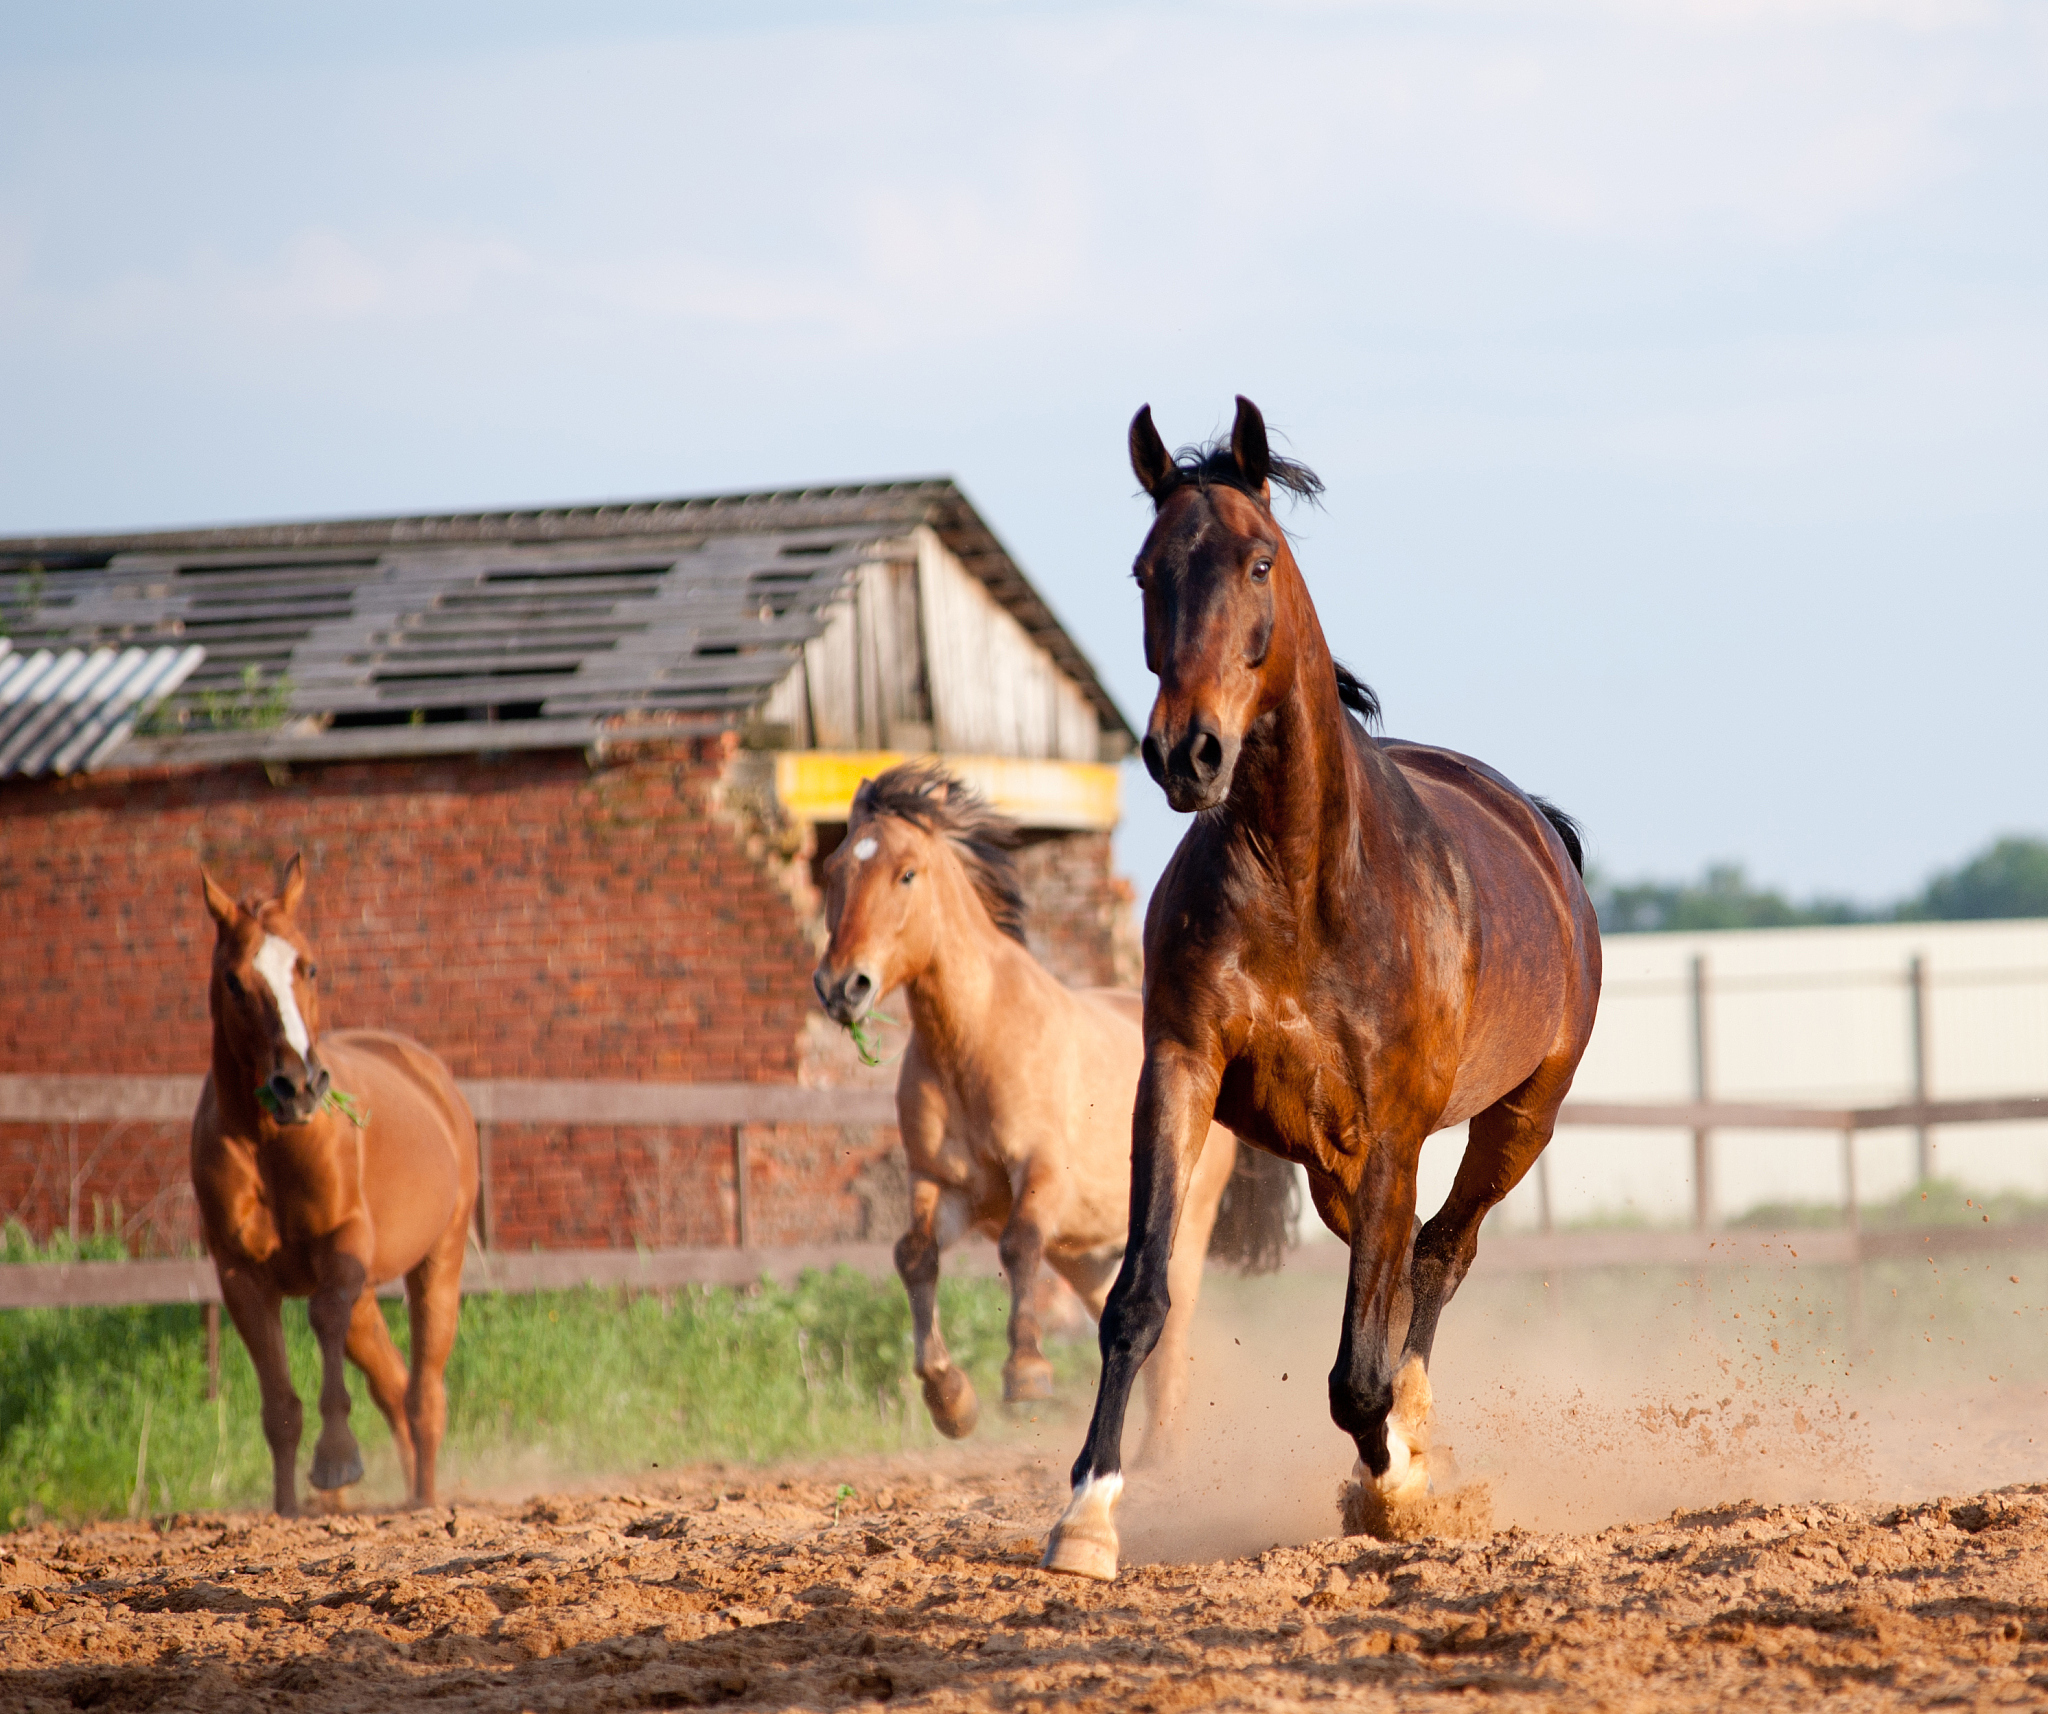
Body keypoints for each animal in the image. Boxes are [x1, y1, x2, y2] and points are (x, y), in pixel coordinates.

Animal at [191, 854, 479, 1515]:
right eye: (233, 981)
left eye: (310, 965)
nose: (298, 1084)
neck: (269, 1141)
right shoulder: (240, 1275)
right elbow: (279, 1405)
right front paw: (288, 1508)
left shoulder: (341, 1249)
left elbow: (323, 1320)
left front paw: (337, 1459)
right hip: (368, 1295)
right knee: (394, 1383)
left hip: (437, 1263)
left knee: (424, 1391)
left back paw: (425, 1501)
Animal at [811, 761, 1288, 1454]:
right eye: (836, 868)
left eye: (907, 873)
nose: (842, 987)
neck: (975, 1040)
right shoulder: (941, 1184)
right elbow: (914, 1254)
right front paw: (950, 1400)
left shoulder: (1039, 1175)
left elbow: (1017, 1247)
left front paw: (1026, 1373)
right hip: (1087, 1251)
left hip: (1186, 1226)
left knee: (1174, 1328)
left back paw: (1160, 1453)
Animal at [1043, 398, 1601, 1579]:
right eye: (1144, 569)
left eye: (1259, 559)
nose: (1187, 753)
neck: (1302, 878)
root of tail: (1537, 825)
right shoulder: (1181, 1070)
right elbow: (1136, 1297)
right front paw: (1086, 1518)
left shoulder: (1395, 1121)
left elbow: (1356, 1376)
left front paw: (1396, 1482)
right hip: (1334, 1166)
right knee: (1400, 1261)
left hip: (1514, 1121)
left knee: (1439, 1254)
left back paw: (1414, 1443)